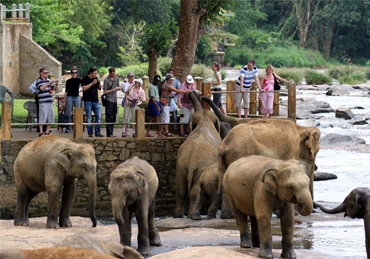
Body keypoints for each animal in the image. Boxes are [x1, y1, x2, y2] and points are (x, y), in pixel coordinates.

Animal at [174, 91, 223, 219]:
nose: (190, 92)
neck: (204, 121)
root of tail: (192, 161)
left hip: (181, 168)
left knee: (181, 190)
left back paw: (179, 216)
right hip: (201, 169)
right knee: (194, 192)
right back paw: (193, 216)